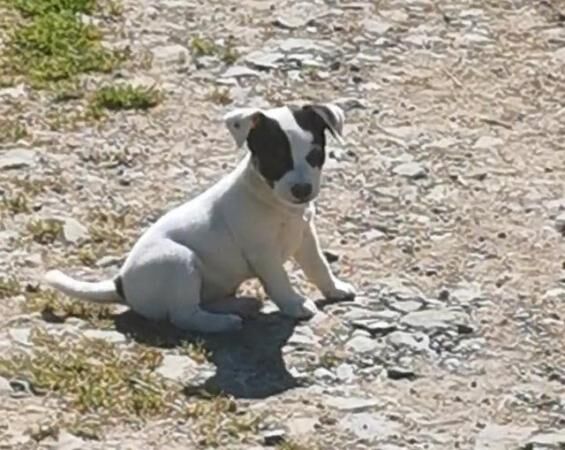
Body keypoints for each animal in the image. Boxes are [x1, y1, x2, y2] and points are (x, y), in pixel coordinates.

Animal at [44, 103, 354, 332]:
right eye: (275, 157)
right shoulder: (263, 254)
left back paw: (237, 306)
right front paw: (293, 304)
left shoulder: (306, 238)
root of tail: (120, 283)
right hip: (179, 261)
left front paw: (334, 288)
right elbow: (280, 280)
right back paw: (222, 323)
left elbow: (319, 267)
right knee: (184, 315)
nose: (302, 190)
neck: (276, 204)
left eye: (315, 154)